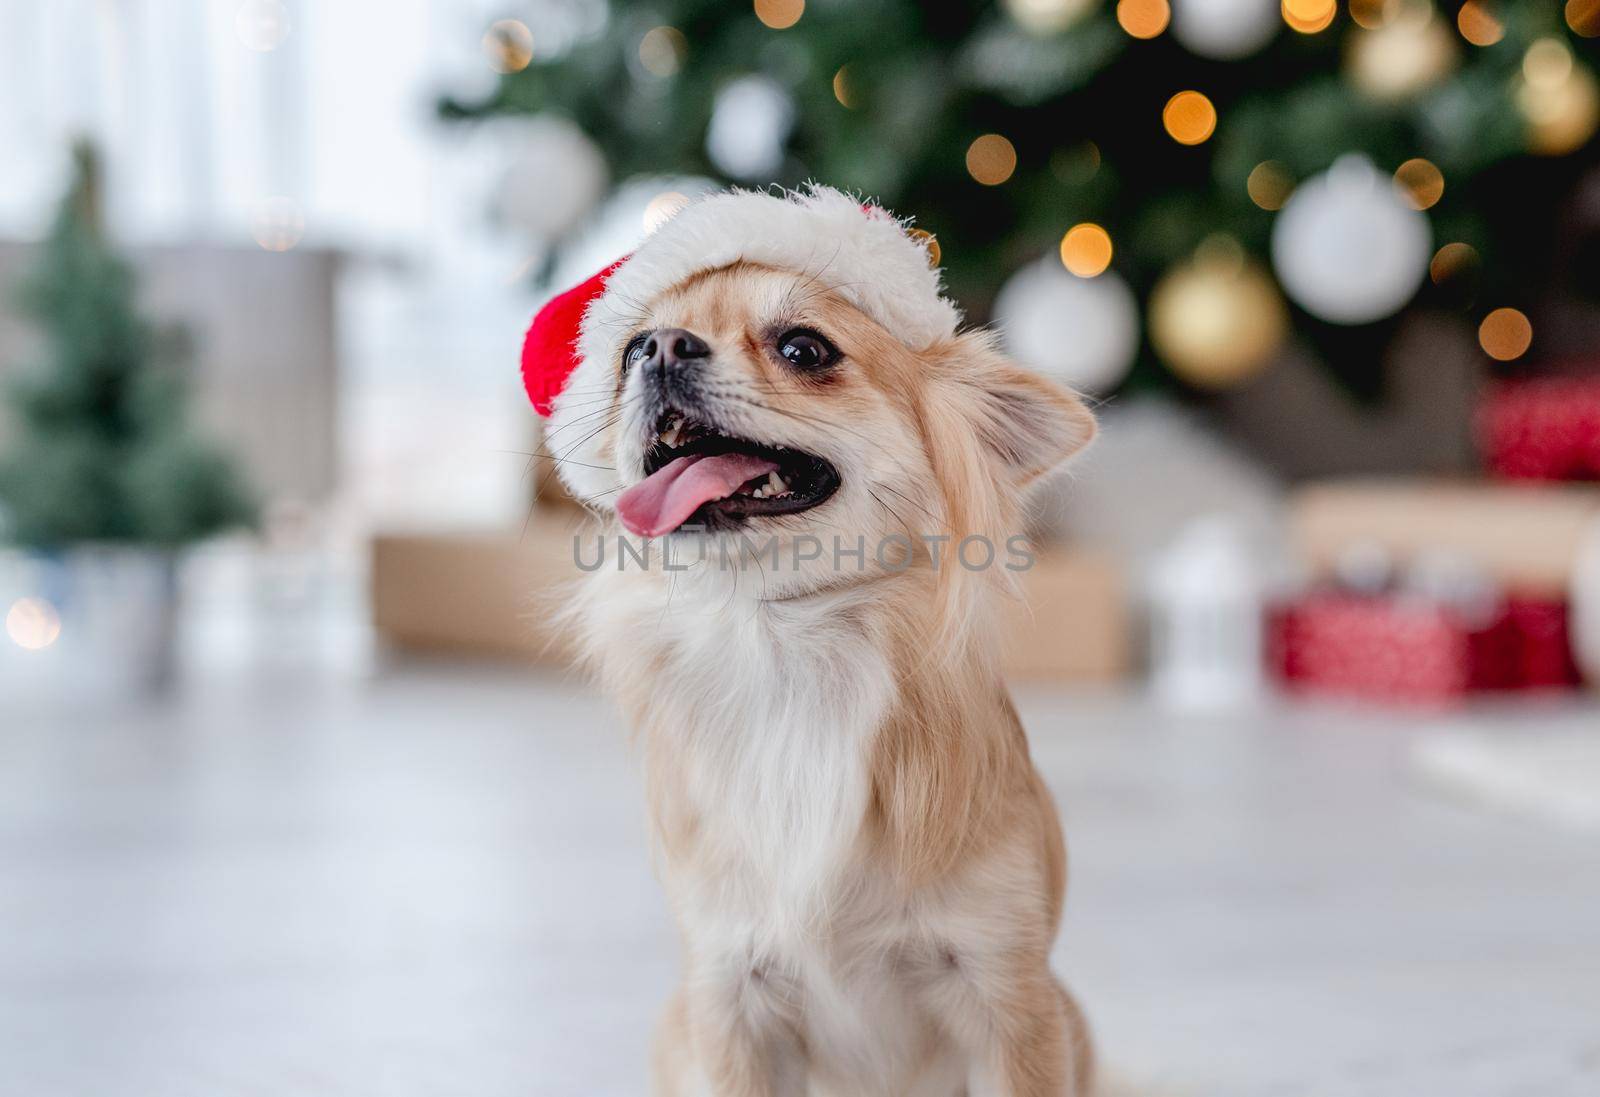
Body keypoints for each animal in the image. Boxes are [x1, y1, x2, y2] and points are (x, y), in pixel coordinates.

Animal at [528, 188, 1100, 1097]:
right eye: (624, 356)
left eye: (804, 348)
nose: (659, 347)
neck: (787, 648)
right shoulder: (729, 997)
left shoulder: (1010, 995)